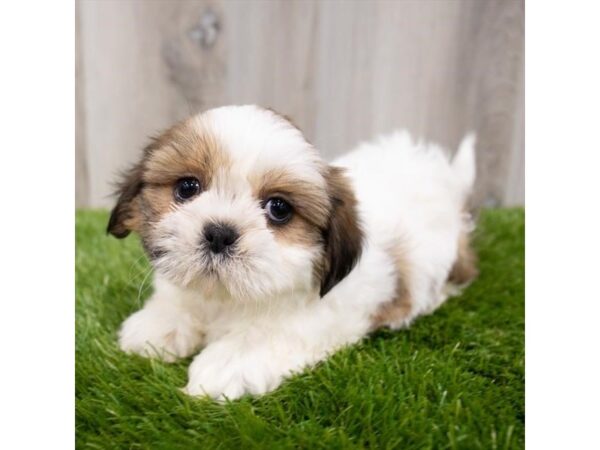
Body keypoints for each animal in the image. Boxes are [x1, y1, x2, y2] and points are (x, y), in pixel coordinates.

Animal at [106, 105, 474, 400]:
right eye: (187, 187)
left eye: (279, 208)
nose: (220, 233)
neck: (226, 298)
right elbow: (179, 300)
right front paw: (161, 323)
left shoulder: (323, 314)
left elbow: (271, 333)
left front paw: (228, 361)